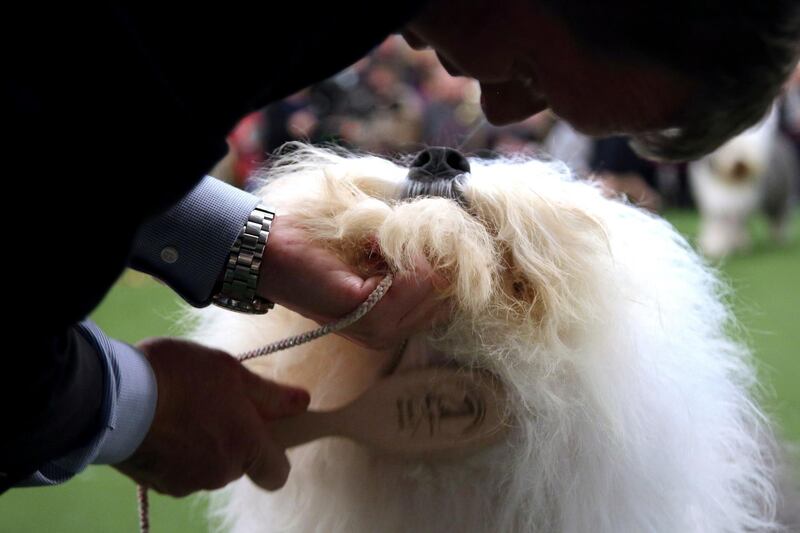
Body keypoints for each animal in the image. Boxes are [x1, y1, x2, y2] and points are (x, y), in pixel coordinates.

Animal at [688, 107, 792, 258]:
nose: (740, 163)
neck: (731, 181)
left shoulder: (741, 205)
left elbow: (737, 226)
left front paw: (738, 246)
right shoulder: (716, 203)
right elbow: (717, 226)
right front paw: (715, 248)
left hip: (778, 195)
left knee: (779, 217)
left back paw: (779, 239)